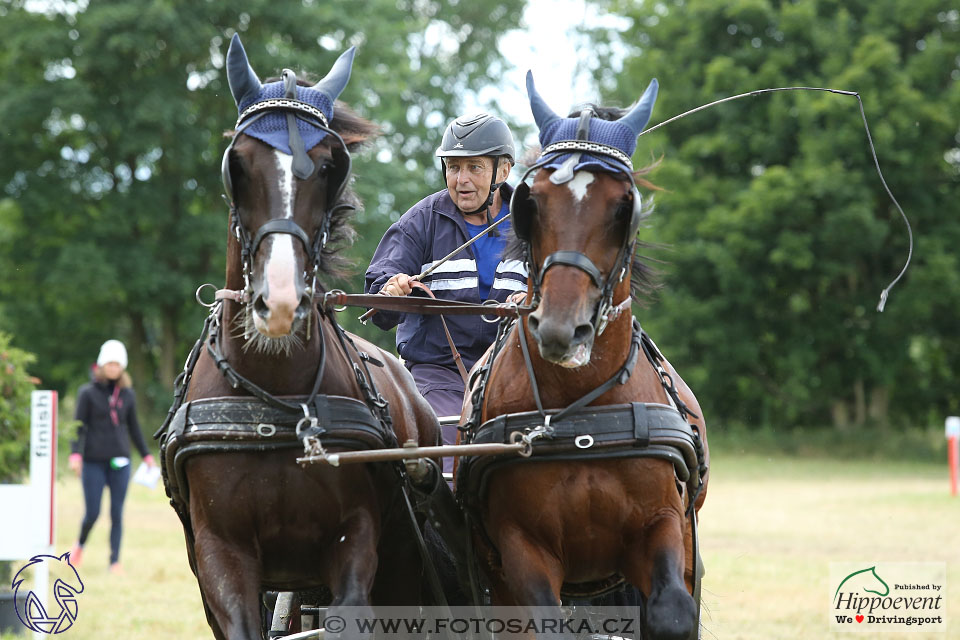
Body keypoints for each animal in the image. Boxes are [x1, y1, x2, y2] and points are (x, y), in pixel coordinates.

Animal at [158, 35, 438, 640]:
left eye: (332, 165)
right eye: (237, 163)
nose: (282, 303)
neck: (276, 397)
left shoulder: (357, 538)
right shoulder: (220, 554)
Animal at [462, 72, 708, 636]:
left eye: (623, 208)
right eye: (531, 204)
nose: (561, 330)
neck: (581, 416)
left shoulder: (663, 526)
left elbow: (672, 612)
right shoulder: (520, 550)